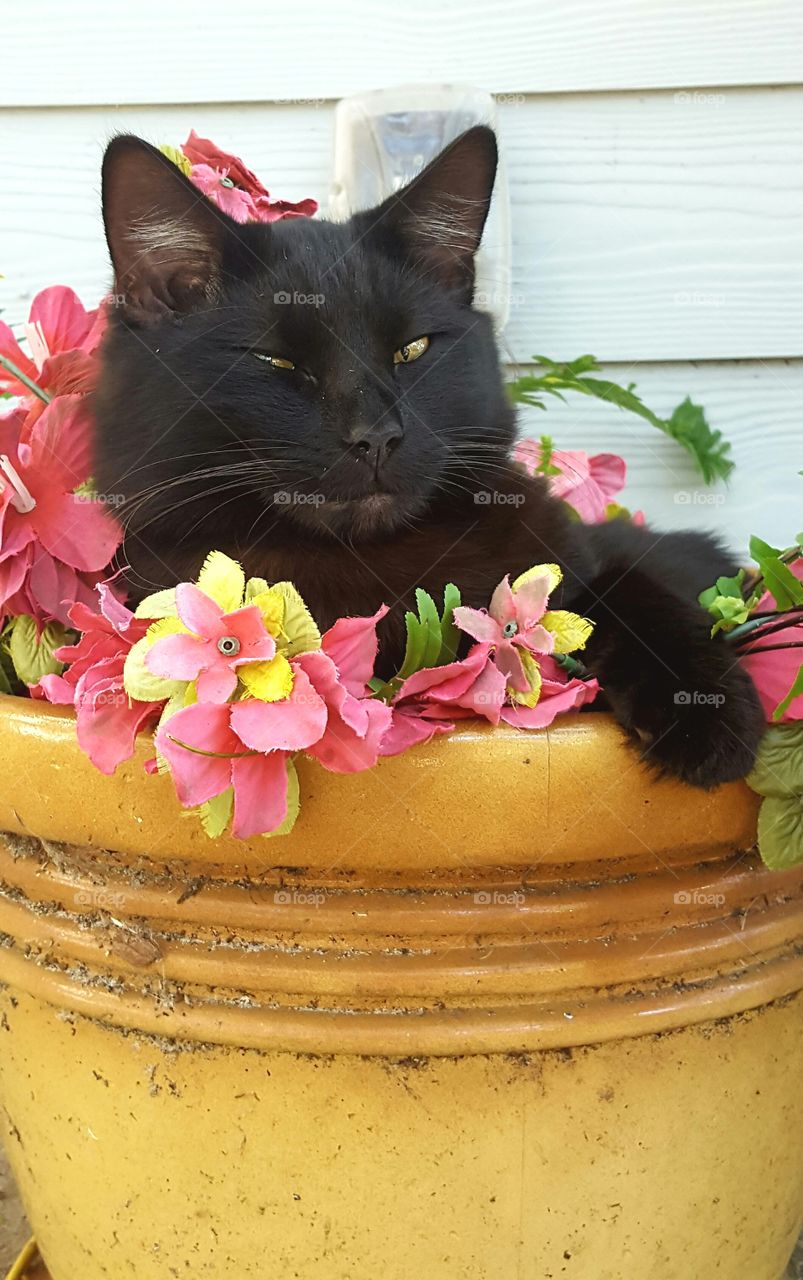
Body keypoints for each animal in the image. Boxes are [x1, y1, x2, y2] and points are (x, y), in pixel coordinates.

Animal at [90, 124, 763, 783]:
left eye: (412, 350)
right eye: (276, 362)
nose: (376, 435)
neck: (374, 568)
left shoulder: (580, 554)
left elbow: (633, 589)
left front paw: (711, 711)